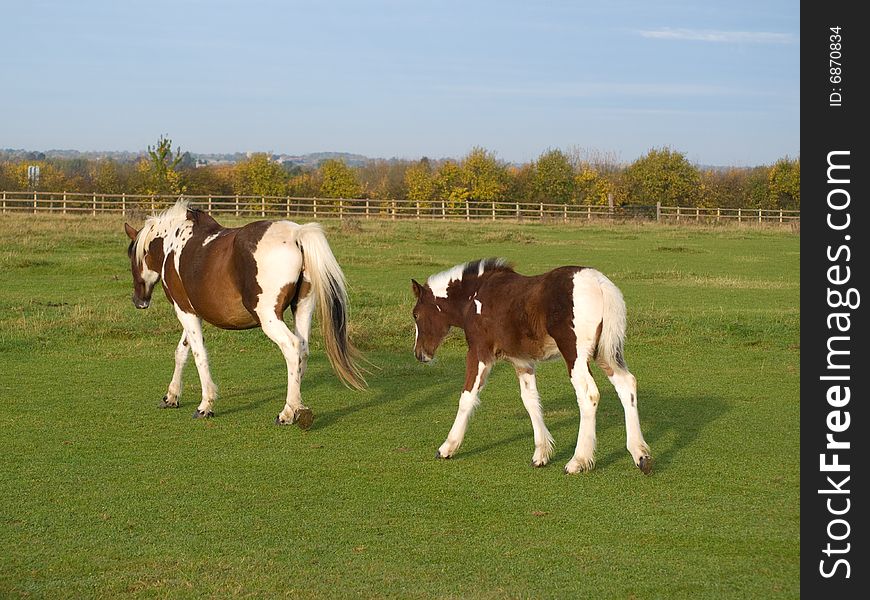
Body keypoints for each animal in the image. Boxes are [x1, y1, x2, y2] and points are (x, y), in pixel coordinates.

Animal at [125, 199, 364, 424]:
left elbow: (199, 354)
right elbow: (182, 352)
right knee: (302, 350)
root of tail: (296, 234)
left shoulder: (184, 311)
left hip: (269, 318)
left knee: (292, 347)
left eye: (133, 258)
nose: (138, 301)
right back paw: (298, 407)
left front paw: (205, 405)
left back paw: (287, 412)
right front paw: (171, 396)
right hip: (303, 308)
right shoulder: (193, 312)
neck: (174, 245)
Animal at [412, 258, 652, 474]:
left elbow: (467, 396)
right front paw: (541, 454)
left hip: (575, 354)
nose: (420, 354)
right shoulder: (522, 362)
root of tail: (600, 283)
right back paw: (641, 455)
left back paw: (578, 461)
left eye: (415, 314)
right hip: (604, 353)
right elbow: (530, 400)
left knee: (588, 394)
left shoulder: (479, 353)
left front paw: (447, 448)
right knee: (627, 385)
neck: (475, 296)